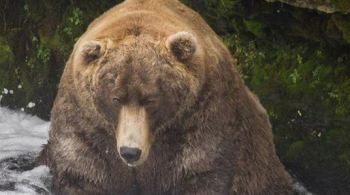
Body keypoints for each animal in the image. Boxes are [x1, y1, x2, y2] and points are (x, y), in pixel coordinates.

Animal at [39, 0, 296, 194]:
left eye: (151, 99)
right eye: (115, 98)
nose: (130, 151)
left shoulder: (202, 122)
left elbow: (201, 171)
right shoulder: (86, 126)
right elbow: (83, 171)